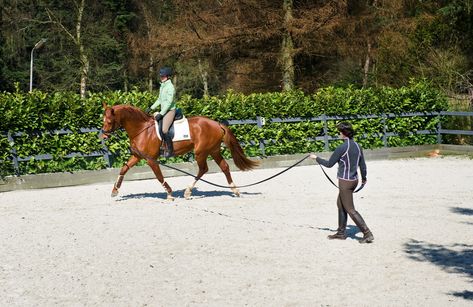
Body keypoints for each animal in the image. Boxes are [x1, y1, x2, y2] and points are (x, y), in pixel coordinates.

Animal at [100, 102, 260, 201]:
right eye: (103, 120)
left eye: (109, 121)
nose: (103, 135)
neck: (142, 129)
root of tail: (217, 124)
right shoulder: (137, 156)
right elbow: (123, 169)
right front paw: (115, 190)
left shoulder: (151, 160)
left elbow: (159, 176)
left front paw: (170, 194)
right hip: (213, 150)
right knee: (224, 167)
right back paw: (235, 190)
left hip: (201, 152)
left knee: (203, 169)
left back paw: (188, 192)